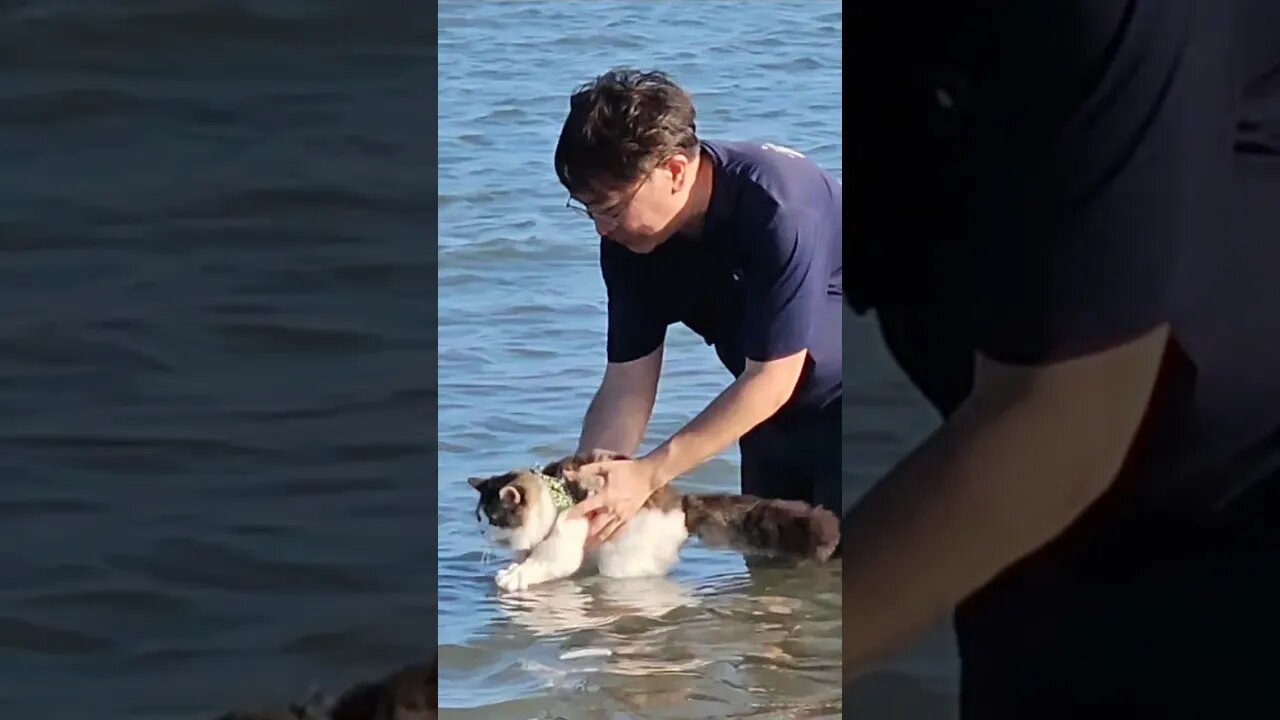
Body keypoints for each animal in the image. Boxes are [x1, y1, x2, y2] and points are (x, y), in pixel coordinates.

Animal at [471, 448, 839, 589]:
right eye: (479, 518)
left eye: (492, 518)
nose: (481, 534)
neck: (552, 495)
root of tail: (682, 503)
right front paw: (514, 567)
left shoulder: (564, 538)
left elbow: (542, 563)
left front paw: (514, 577)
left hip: (621, 559)